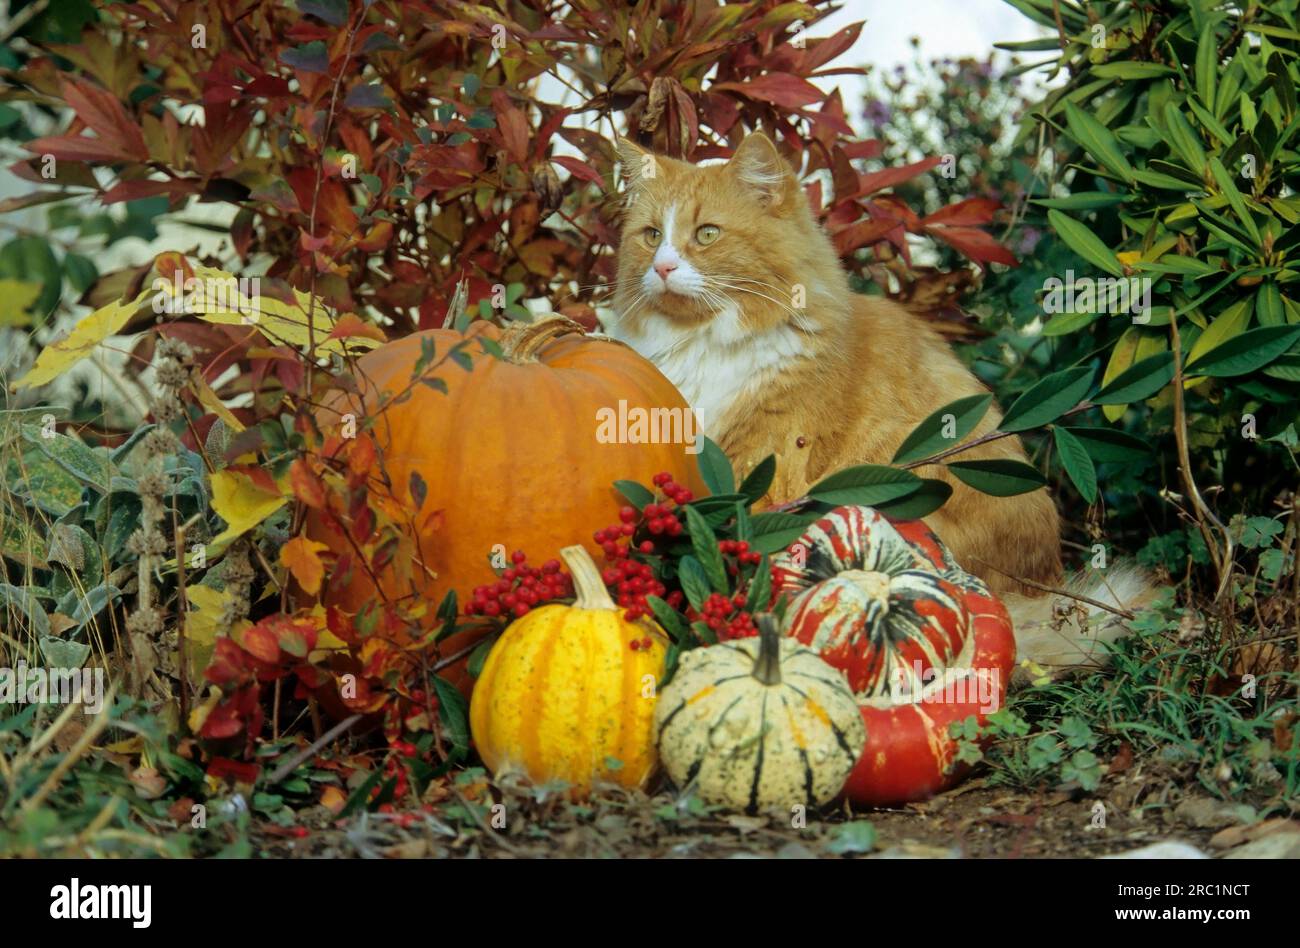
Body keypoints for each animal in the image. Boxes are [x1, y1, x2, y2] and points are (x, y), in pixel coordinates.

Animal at [608, 131, 1149, 671]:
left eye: (706, 234)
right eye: (652, 236)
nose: (663, 266)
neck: (703, 343)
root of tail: (1038, 590)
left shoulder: (764, 465)